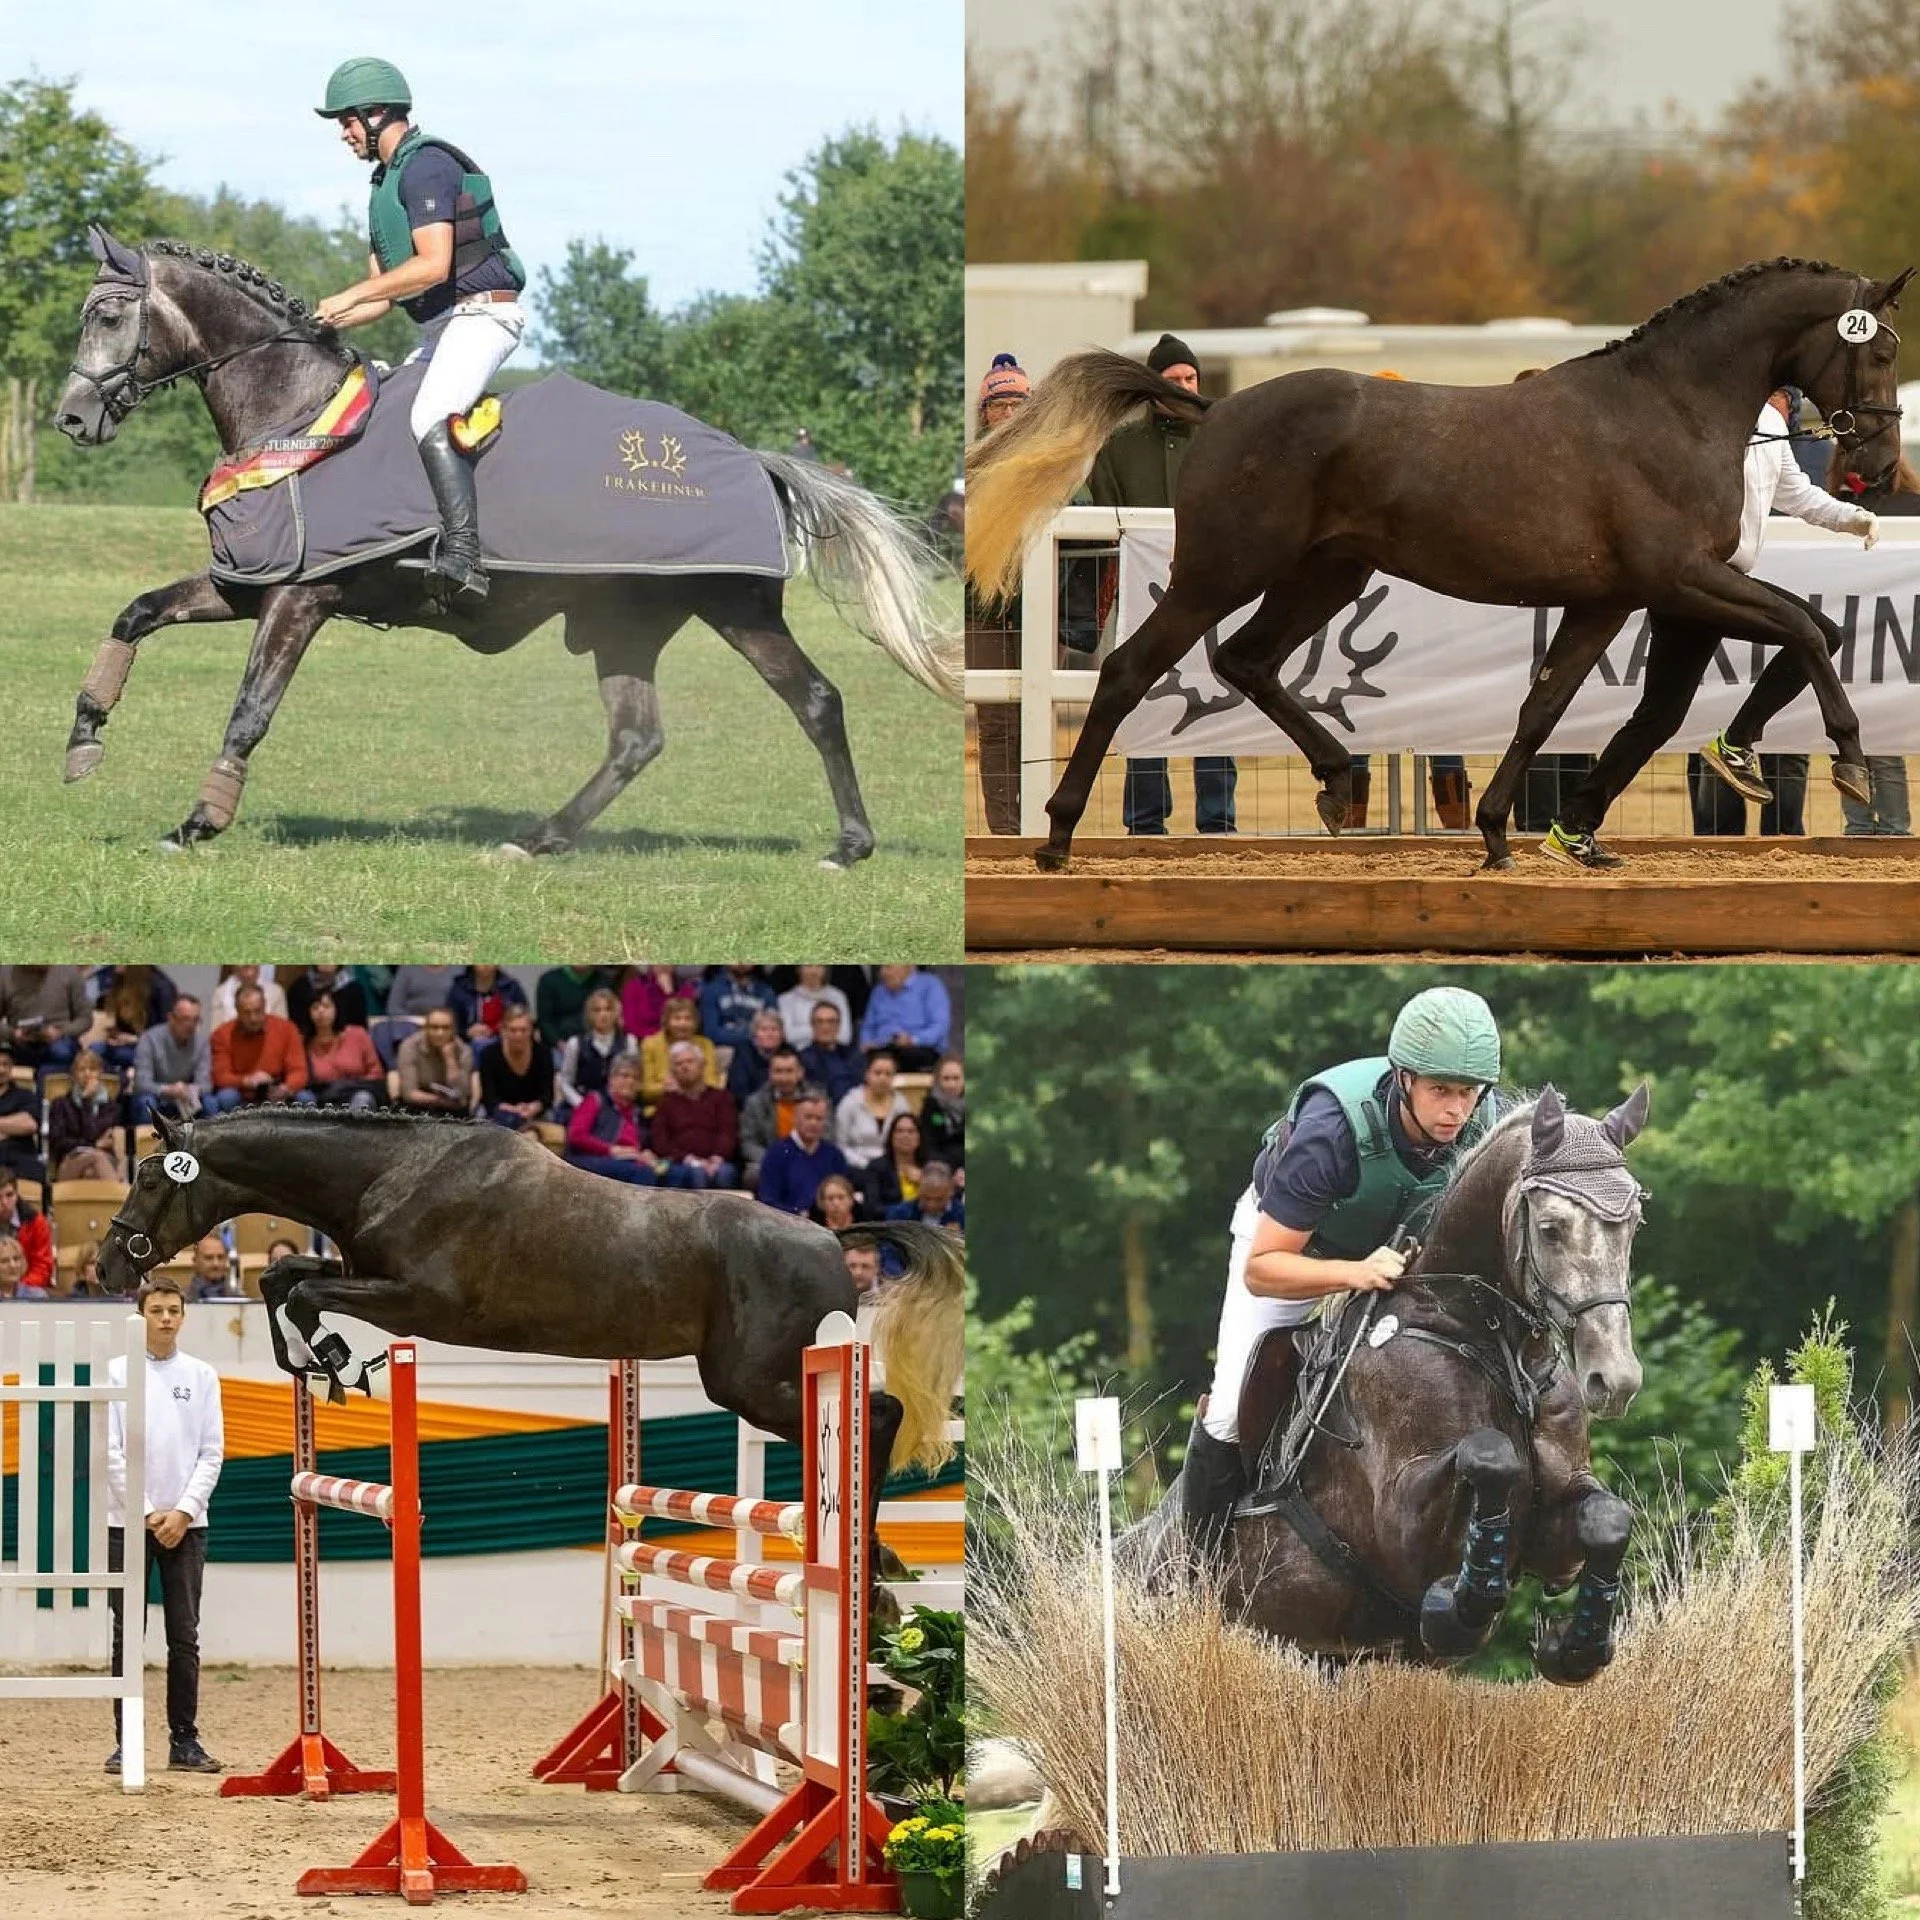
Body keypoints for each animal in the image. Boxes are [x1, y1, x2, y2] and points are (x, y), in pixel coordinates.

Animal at [54, 228, 959, 864]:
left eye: (107, 315)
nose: (71, 417)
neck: (297, 414)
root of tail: (751, 459)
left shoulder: (301, 597)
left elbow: (251, 708)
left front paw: (200, 820)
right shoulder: (248, 585)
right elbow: (135, 614)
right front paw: (85, 737)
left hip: (734, 607)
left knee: (815, 701)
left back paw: (848, 848)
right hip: (626, 624)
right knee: (637, 738)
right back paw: (540, 839)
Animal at [97, 1106, 965, 1565]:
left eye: (149, 1178)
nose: (107, 1264)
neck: (391, 1173)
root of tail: (833, 1236)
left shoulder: (416, 1303)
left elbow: (302, 1290)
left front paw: (339, 1362)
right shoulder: (366, 1276)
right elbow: (283, 1279)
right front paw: (324, 1366)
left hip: (756, 1381)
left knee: (879, 1413)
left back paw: (870, 1555)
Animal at [965, 257, 1913, 872]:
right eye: (1881, 348)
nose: (1874, 466)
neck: (1670, 410)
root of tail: (1215, 408)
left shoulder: (1611, 601)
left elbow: (1544, 708)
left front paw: (1498, 836)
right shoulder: (1679, 579)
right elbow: (1805, 631)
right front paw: (1850, 762)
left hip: (1326, 576)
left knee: (1246, 660)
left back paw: (1337, 782)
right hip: (1221, 573)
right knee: (1131, 670)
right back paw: (1056, 837)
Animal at [1128, 1084, 1650, 1682]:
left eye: (1633, 1225)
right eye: (1551, 1229)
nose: (1615, 1379)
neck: (1489, 1343)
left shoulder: (1555, 1525)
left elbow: (1608, 1518)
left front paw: (1575, 1646)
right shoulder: (1400, 1526)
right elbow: (1492, 1455)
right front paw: (1458, 1611)